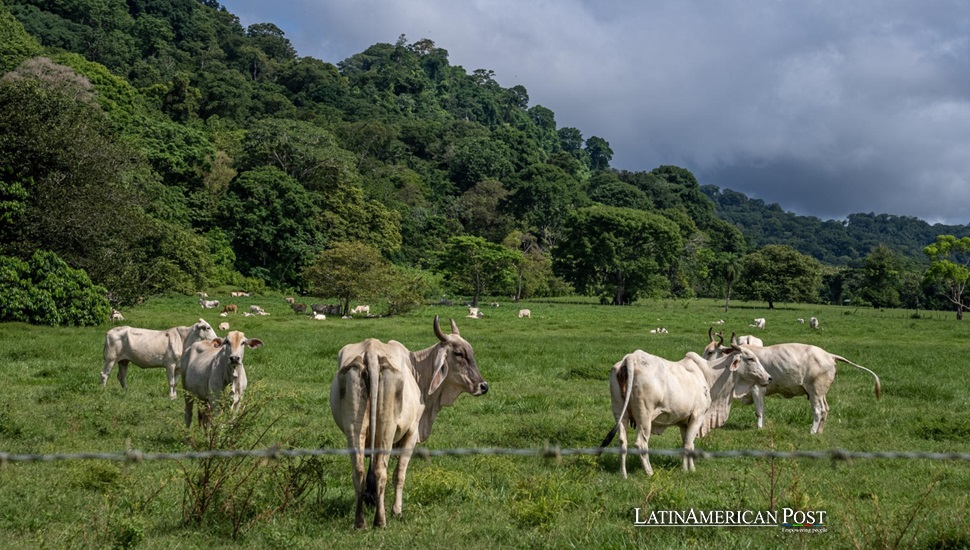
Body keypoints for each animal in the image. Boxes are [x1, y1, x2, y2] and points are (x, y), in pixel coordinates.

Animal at [330, 314, 488, 532]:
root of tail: (371, 351)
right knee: (382, 471)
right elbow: (399, 474)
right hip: (386, 429)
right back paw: (380, 520)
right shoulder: (411, 434)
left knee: (359, 471)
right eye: (459, 353)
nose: (483, 386)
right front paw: (397, 510)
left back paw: (360, 521)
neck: (416, 368)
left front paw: (371, 499)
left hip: (354, 430)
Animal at [596, 344, 772, 478]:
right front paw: (689, 470)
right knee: (641, 443)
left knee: (622, 441)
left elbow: (687, 444)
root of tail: (631, 358)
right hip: (644, 417)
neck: (707, 375)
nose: (769, 378)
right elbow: (688, 445)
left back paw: (623, 474)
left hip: (620, 413)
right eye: (751, 359)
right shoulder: (698, 416)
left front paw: (687, 468)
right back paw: (649, 472)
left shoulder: (683, 422)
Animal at [700, 332, 880, 436]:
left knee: (818, 410)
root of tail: (828, 355)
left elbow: (759, 412)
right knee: (826, 409)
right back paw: (820, 431)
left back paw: (812, 431)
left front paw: (759, 428)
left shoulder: (758, 390)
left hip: (815, 392)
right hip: (821, 393)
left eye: (710, 352)